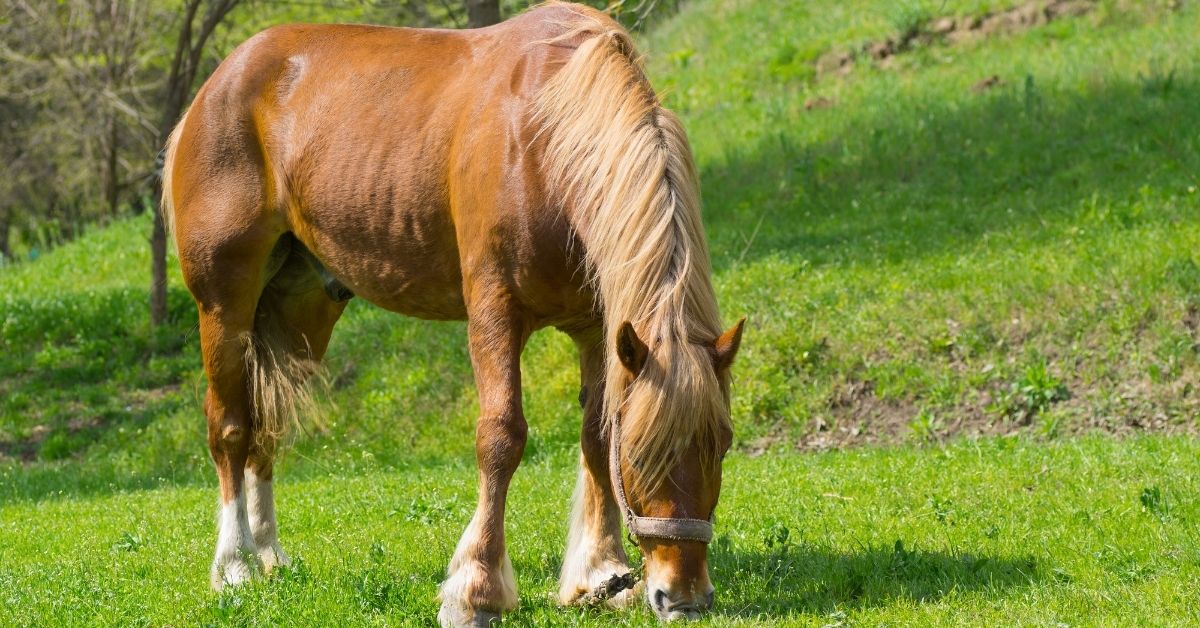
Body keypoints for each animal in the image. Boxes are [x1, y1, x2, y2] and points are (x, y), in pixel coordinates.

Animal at [159, 2, 739, 624]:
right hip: (225, 305)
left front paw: (598, 574)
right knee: (230, 427)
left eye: (723, 443)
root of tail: (216, 84)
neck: (544, 139)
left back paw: (269, 554)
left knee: (267, 426)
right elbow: (501, 437)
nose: (683, 595)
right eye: (642, 452)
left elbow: (593, 433)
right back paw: (235, 564)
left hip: (302, 313)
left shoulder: (598, 328)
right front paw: (476, 589)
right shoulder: (495, 315)